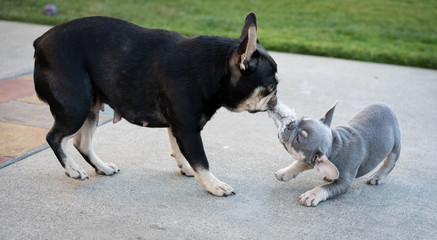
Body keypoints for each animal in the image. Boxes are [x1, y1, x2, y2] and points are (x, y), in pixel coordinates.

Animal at [35, 12, 280, 196]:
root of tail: (40, 42)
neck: (215, 68)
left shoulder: (178, 126)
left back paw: (102, 167)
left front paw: (186, 167)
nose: (276, 99)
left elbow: (178, 149)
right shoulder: (188, 130)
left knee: (82, 142)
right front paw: (214, 184)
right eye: (270, 87)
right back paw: (73, 170)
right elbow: (202, 160)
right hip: (76, 105)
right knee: (55, 138)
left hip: (90, 106)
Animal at [268, 101, 400, 206]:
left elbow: (325, 188)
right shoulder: (311, 159)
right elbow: (299, 163)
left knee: (389, 163)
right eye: (303, 118)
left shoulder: (344, 183)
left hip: (395, 145)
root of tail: (386, 106)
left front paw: (312, 194)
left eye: (297, 139)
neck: (334, 147)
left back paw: (377, 176)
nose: (290, 123)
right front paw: (285, 172)